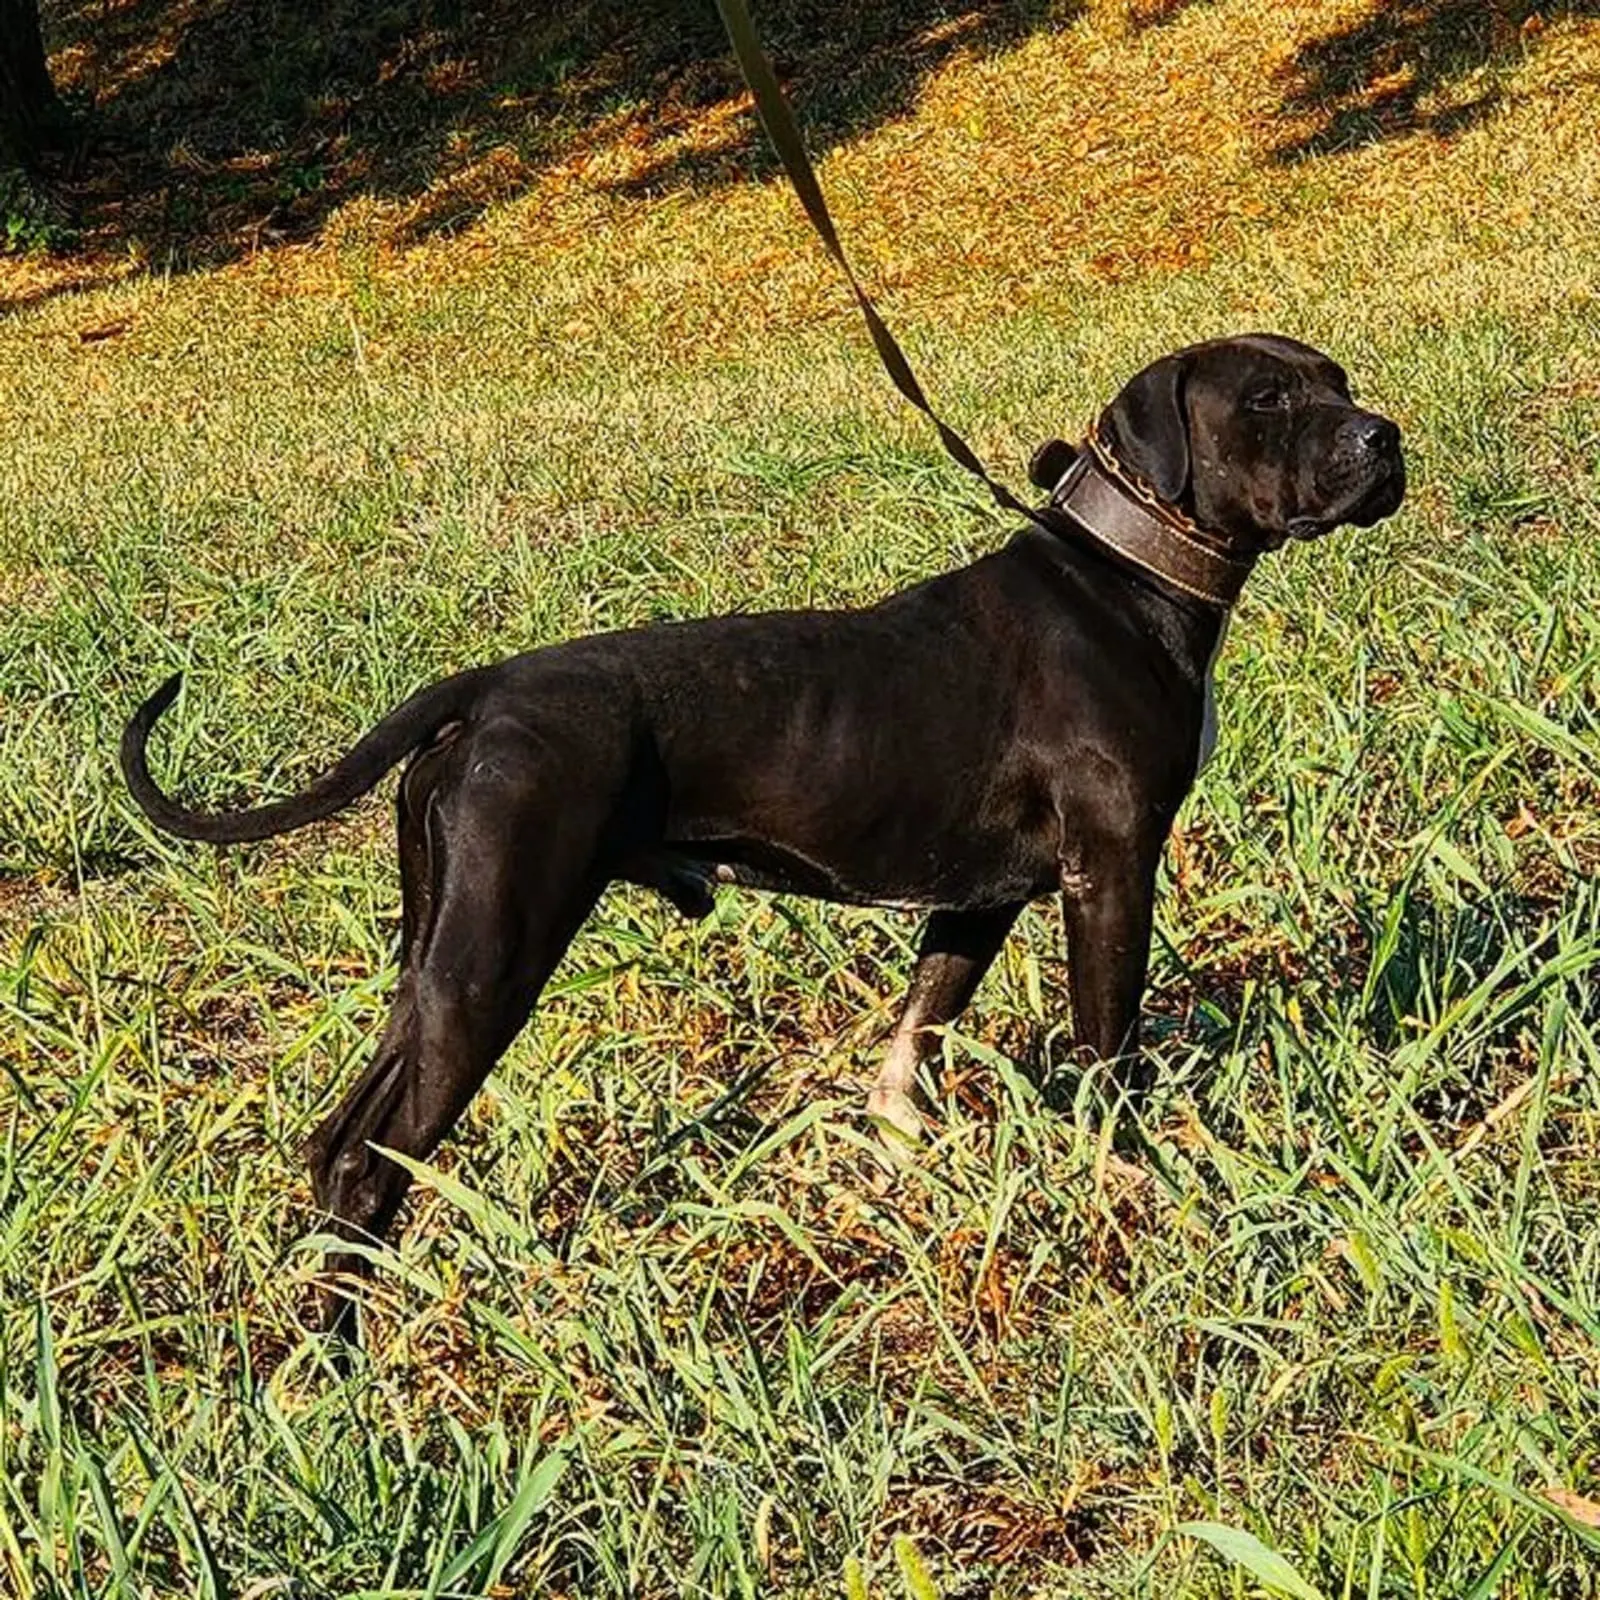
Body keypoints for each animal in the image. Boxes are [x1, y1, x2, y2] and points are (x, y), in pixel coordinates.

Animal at [121, 331, 1401, 1331]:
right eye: (1267, 400)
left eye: (1338, 379)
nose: (1381, 437)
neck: (1125, 574)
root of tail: (484, 690)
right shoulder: (1110, 876)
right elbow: (1106, 1056)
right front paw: (1121, 1185)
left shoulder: (975, 901)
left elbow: (910, 1043)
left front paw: (902, 1164)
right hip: (493, 960)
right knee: (364, 1157)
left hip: (434, 960)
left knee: (341, 1137)